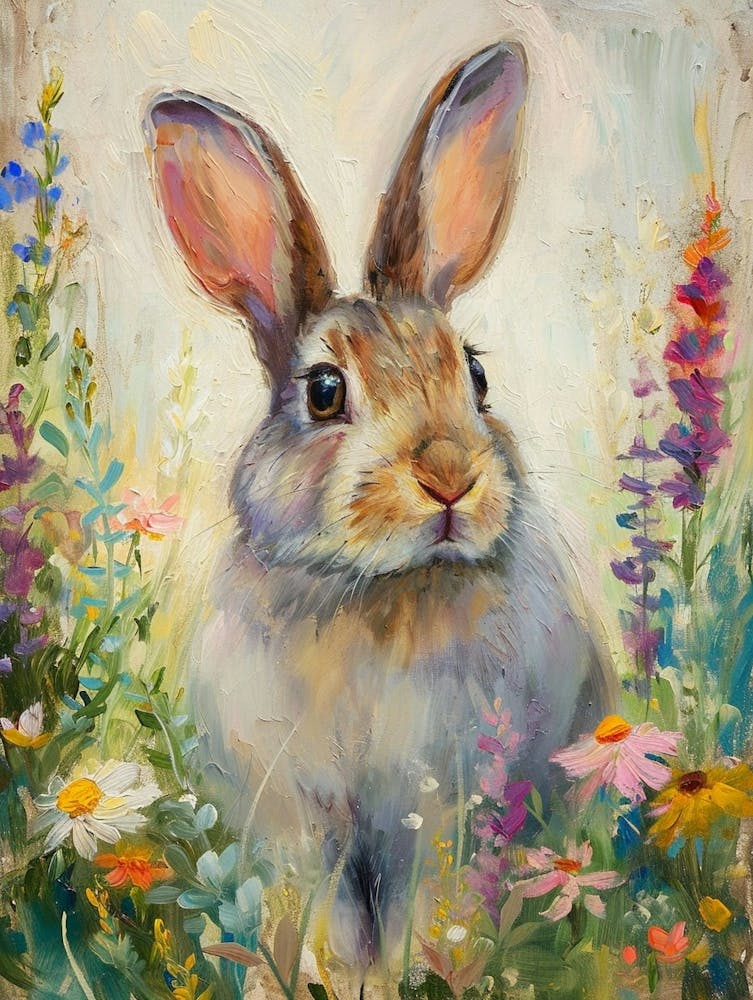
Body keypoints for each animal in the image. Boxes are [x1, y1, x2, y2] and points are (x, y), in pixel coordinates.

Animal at [145, 41, 614, 986]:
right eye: (324, 391)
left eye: (474, 373)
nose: (447, 477)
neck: (377, 590)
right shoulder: (293, 815)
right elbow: (306, 912)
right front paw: (307, 979)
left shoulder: (437, 806)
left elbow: (429, 906)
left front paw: (414, 977)